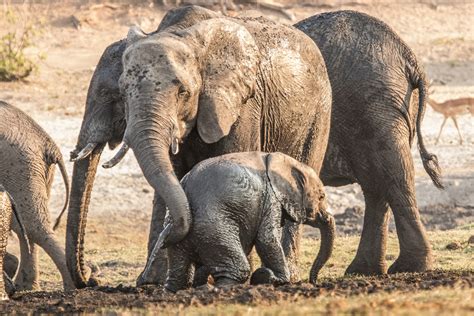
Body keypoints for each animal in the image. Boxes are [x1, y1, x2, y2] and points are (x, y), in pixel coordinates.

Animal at [0, 102, 73, 292]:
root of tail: (49, 144)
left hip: (18, 165)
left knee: (32, 226)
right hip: (33, 169)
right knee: (25, 227)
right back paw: (23, 287)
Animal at [139, 152, 336, 292]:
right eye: (321, 196)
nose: (314, 282)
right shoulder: (271, 198)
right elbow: (267, 239)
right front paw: (277, 279)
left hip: (182, 232)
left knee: (179, 274)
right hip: (215, 227)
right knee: (237, 269)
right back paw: (220, 289)